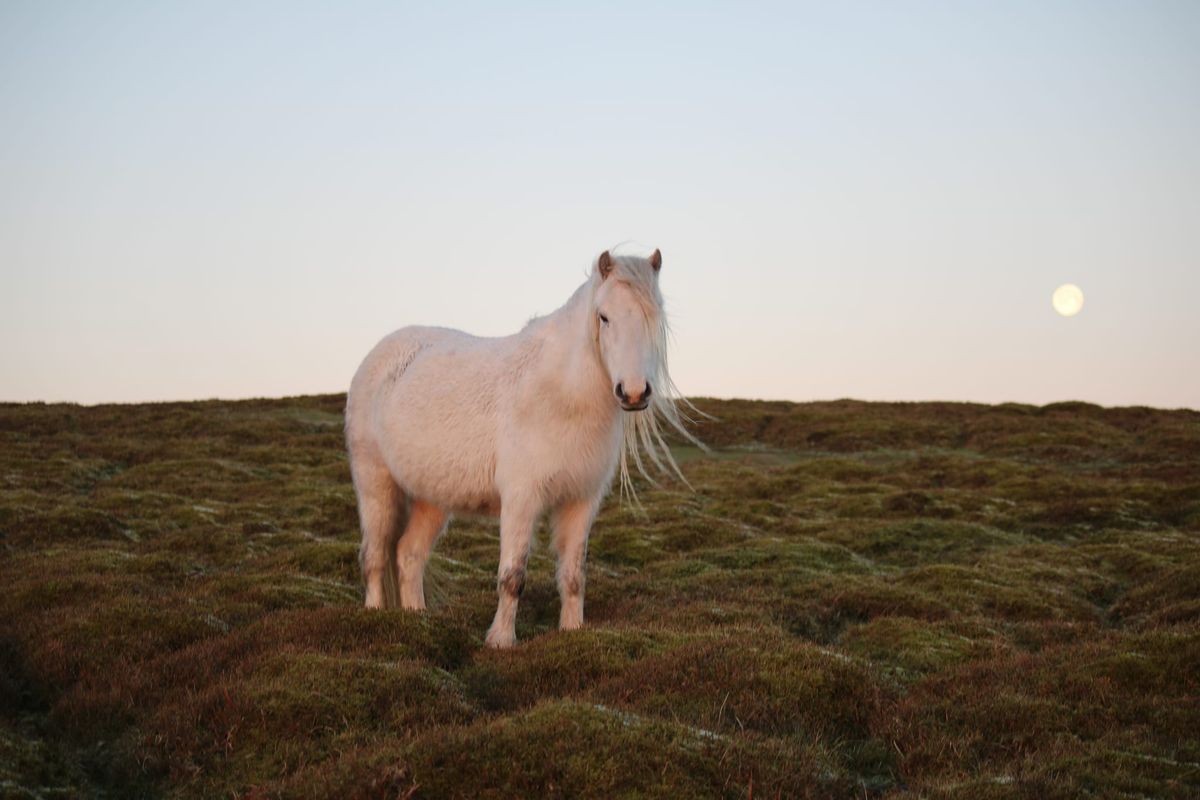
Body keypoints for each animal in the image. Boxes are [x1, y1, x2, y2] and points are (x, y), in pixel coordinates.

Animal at [343, 250, 696, 652]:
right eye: (604, 317)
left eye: (655, 315)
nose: (634, 392)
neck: (559, 395)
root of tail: (378, 356)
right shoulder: (520, 498)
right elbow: (512, 575)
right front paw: (500, 640)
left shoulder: (581, 501)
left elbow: (574, 574)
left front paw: (572, 632)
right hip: (375, 484)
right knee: (374, 556)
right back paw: (374, 617)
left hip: (431, 498)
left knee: (408, 555)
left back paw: (417, 621)